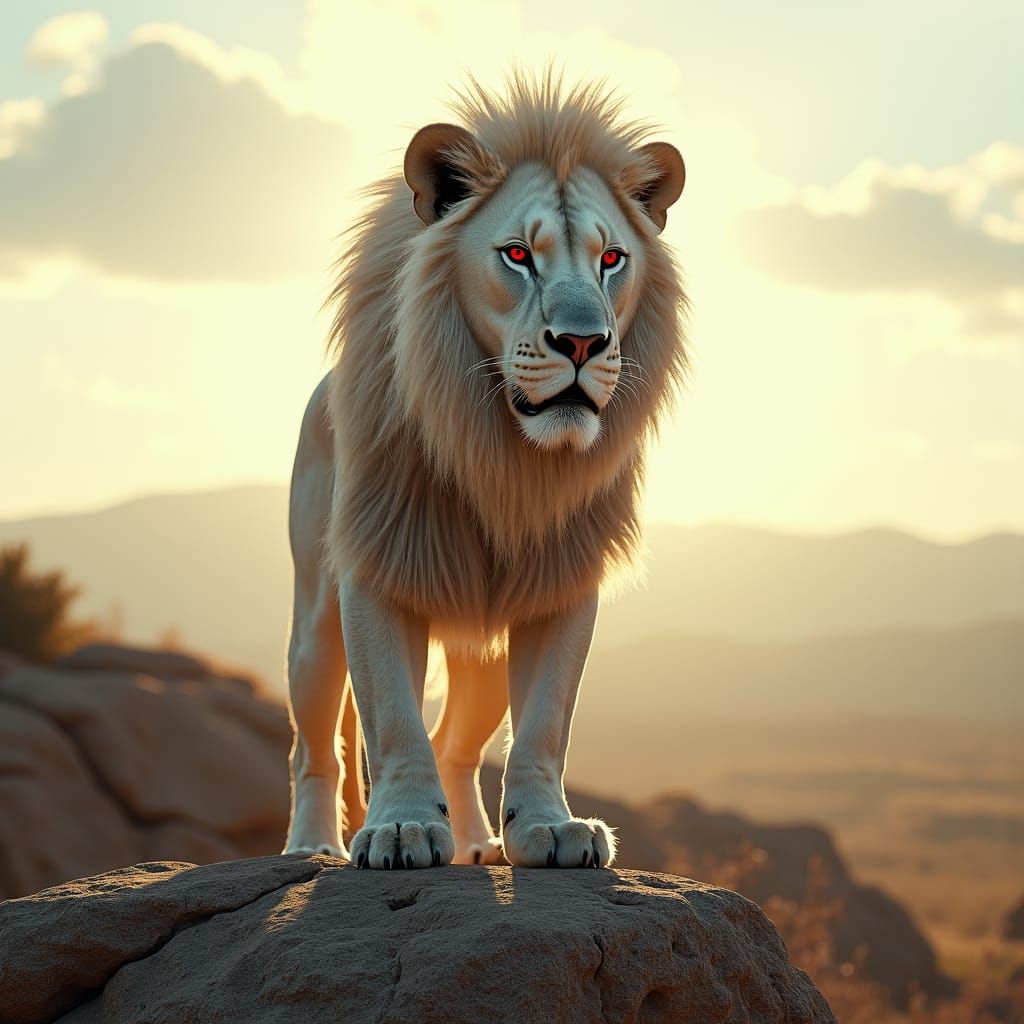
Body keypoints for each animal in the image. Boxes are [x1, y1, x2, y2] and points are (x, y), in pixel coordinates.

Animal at [283, 72, 687, 870]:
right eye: (518, 255)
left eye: (612, 259)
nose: (583, 343)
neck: (504, 456)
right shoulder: (378, 563)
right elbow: (392, 721)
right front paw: (403, 828)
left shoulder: (561, 583)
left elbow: (546, 726)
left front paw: (548, 829)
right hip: (313, 626)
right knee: (316, 749)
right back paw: (312, 846)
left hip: (483, 653)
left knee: (457, 744)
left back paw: (476, 846)